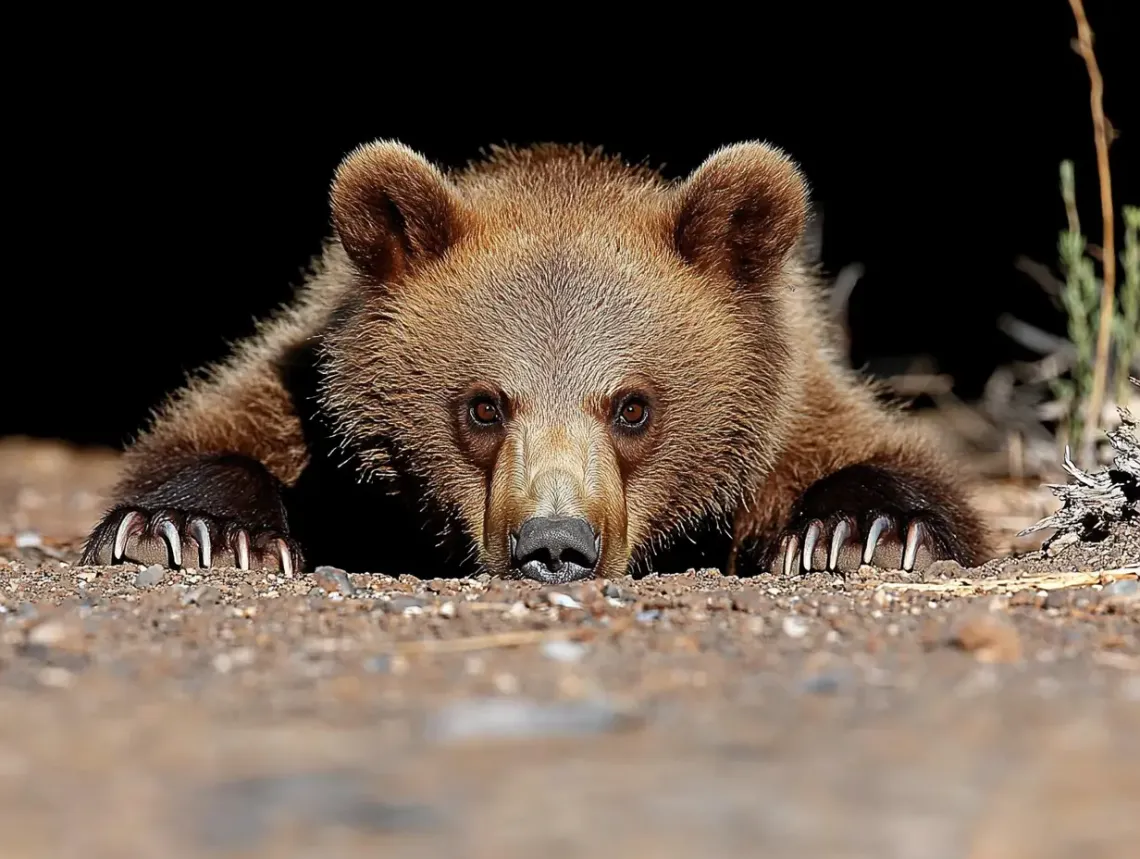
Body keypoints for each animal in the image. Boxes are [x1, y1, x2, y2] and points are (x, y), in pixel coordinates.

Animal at [78, 142, 989, 583]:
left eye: (632, 406)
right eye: (484, 404)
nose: (555, 543)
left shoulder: (786, 405)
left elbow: (875, 456)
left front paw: (865, 530)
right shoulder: (312, 386)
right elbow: (218, 429)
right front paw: (190, 528)